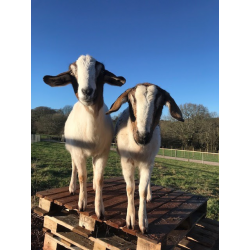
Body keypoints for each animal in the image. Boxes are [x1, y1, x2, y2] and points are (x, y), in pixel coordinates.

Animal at [43, 54, 126, 219]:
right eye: (71, 72)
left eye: (101, 71)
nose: (87, 91)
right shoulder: (78, 152)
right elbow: (82, 176)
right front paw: (82, 204)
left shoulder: (103, 152)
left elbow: (100, 179)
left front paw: (100, 210)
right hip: (72, 150)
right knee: (74, 167)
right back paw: (72, 188)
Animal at [105, 83, 184, 232]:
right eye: (131, 101)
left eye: (160, 104)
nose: (142, 136)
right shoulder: (126, 162)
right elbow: (130, 188)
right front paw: (130, 220)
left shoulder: (147, 162)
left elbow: (141, 189)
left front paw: (143, 222)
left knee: (146, 182)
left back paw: (149, 196)